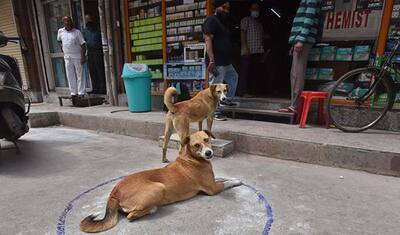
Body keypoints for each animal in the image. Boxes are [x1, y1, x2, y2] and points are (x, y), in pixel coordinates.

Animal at [78, 130, 241, 233]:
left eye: (206, 140)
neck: (192, 158)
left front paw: (235, 178)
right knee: (131, 216)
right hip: (159, 188)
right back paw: (152, 209)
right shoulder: (212, 188)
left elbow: (223, 178)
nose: (209, 153)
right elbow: (226, 183)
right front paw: (236, 181)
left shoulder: (212, 181)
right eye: (196, 145)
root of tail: (114, 192)